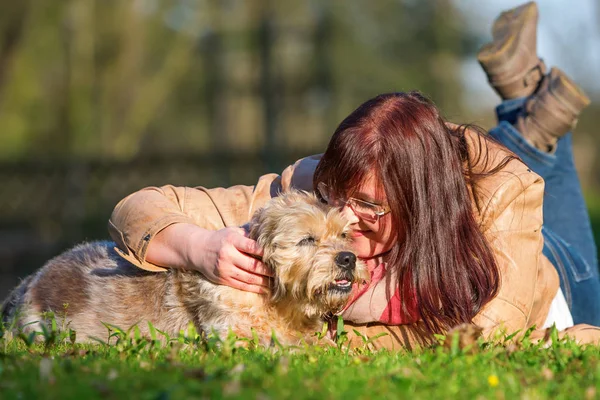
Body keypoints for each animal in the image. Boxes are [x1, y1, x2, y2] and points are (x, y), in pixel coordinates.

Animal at [0, 192, 368, 346]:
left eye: (343, 235)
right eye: (307, 239)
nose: (347, 258)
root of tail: (29, 281)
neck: (276, 299)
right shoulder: (237, 337)